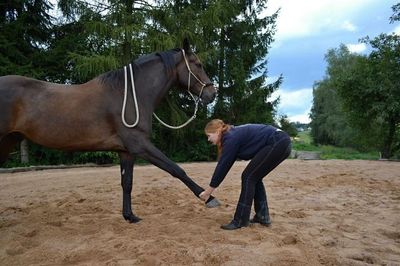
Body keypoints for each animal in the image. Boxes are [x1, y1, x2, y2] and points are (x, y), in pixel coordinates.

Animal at [0, 39, 219, 222]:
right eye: (198, 64)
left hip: (8, 141)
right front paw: (208, 198)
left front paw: (130, 216)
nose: (212, 93)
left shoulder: (126, 151)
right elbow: (176, 169)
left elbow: (127, 183)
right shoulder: (139, 145)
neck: (128, 94)